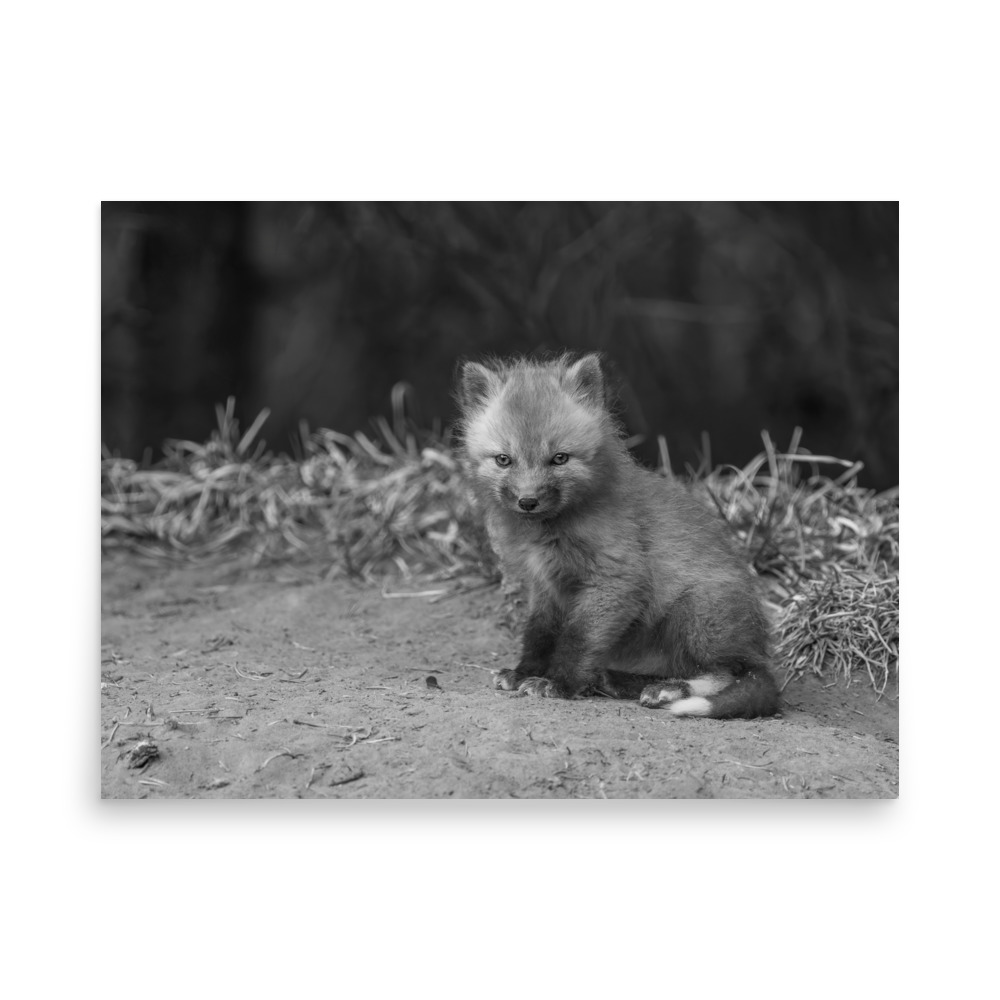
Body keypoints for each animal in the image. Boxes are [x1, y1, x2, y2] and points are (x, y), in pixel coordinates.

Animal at [456, 352, 779, 719]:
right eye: (503, 460)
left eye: (559, 459)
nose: (528, 501)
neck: (550, 533)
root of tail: (757, 645)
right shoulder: (546, 586)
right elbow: (539, 634)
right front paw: (525, 672)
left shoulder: (615, 580)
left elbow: (578, 639)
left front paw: (558, 683)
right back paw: (619, 681)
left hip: (695, 613)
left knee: (732, 673)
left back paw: (668, 690)